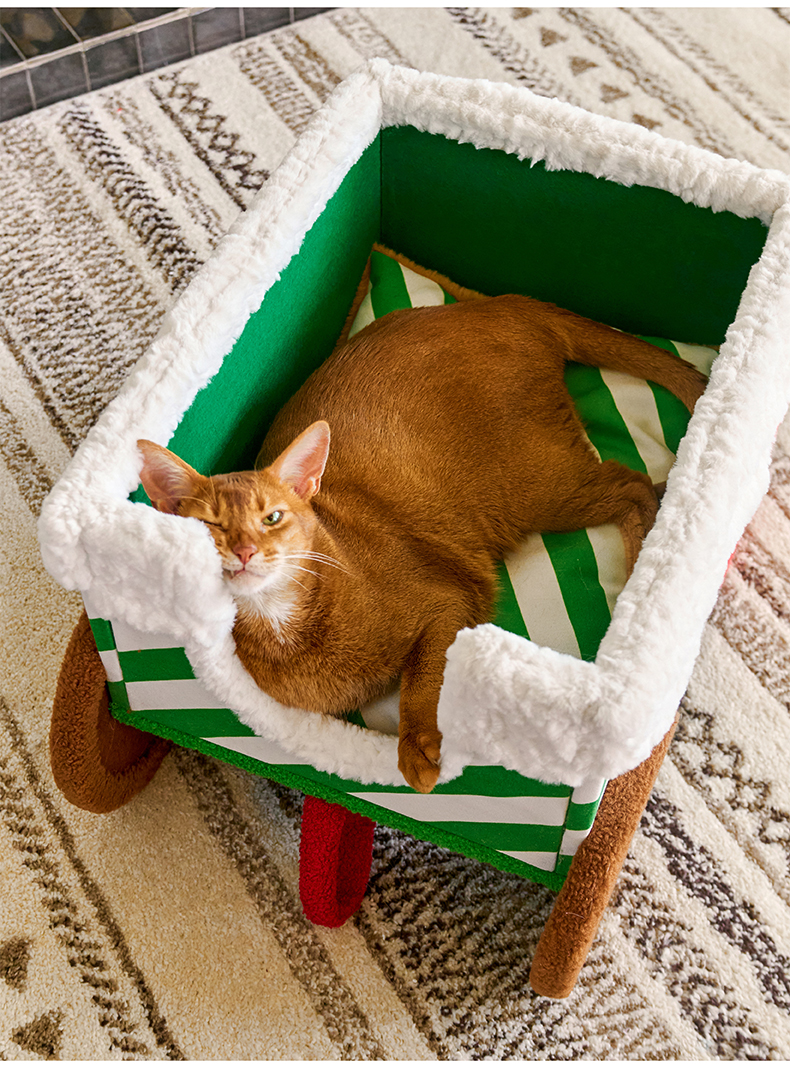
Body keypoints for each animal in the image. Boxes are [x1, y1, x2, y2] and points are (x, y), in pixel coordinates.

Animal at [137, 293, 707, 793]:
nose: (245, 552)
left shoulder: (444, 602)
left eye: (272, 518)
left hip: (539, 487)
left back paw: (637, 582)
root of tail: (503, 304)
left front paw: (417, 751)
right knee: (636, 486)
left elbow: (422, 677)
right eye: (211, 526)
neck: (285, 623)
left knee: (633, 485)